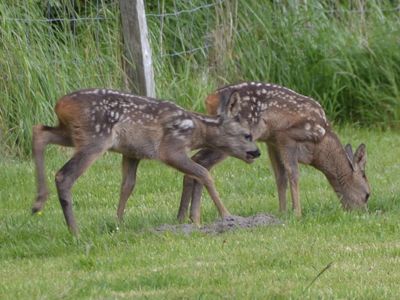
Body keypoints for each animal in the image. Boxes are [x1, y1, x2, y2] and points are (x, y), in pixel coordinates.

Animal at [32, 88, 260, 234]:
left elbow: (127, 185)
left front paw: (118, 223)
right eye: (247, 135)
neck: (197, 130)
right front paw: (227, 216)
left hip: (71, 133)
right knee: (64, 175)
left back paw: (38, 202)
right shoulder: (170, 149)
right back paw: (74, 231)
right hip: (95, 138)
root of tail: (60, 104)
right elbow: (203, 173)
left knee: (40, 131)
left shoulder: (132, 153)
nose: (257, 152)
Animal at [178, 81, 372, 224]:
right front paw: (297, 213)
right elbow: (293, 174)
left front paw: (281, 213)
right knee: (202, 162)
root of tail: (210, 98)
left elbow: (280, 177)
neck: (321, 145)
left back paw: (186, 218)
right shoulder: (286, 136)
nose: (362, 214)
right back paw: (209, 216)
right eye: (367, 195)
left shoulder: (272, 141)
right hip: (233, 140)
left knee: (197, 162)